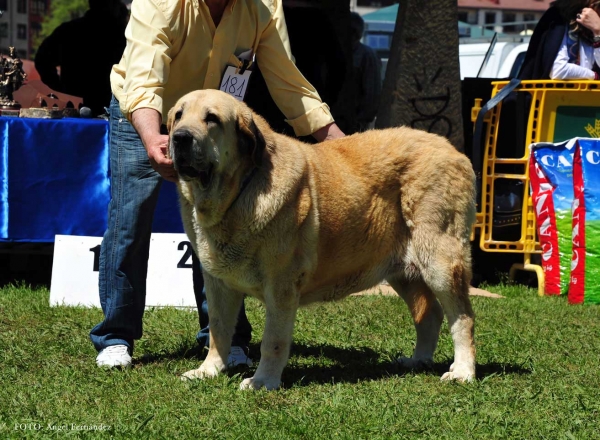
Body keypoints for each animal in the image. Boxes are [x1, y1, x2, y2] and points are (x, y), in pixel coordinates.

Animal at [166, 88, 476, 388]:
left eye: (212, 119)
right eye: (178, 115)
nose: (179, 137)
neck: (238, 192)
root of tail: (453, 150)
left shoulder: (281, 285)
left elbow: (273, 341)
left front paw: (262, 381)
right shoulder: (218, 284)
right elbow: (218, 329)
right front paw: (208, 370)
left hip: (440, 262)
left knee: (463, 317)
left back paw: (463, 371)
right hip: (402, 272)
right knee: (429, 314)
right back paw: (418, 360)